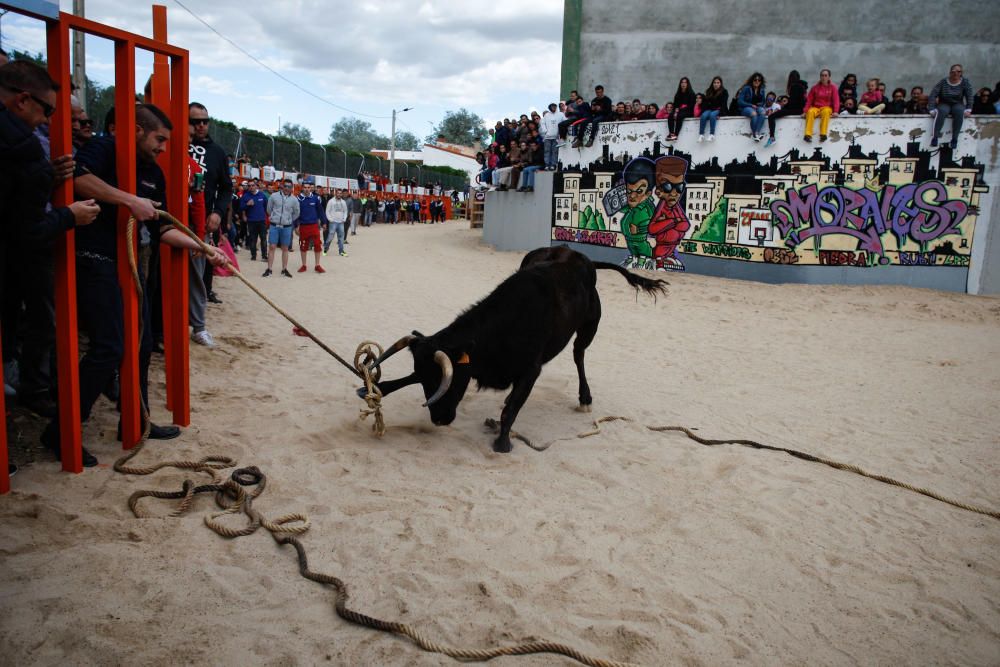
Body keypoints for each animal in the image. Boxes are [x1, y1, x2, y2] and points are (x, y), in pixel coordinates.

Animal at [360, 247, 664, 454]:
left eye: (444, 380)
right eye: (426, 382)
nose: (439, 420)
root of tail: (584, 258)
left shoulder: (531, 370)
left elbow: (512, 408)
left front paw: (503, 441)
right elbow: (402, 380)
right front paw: (373, 387)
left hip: (590, 326)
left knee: (579, 354)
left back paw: (584, 397)